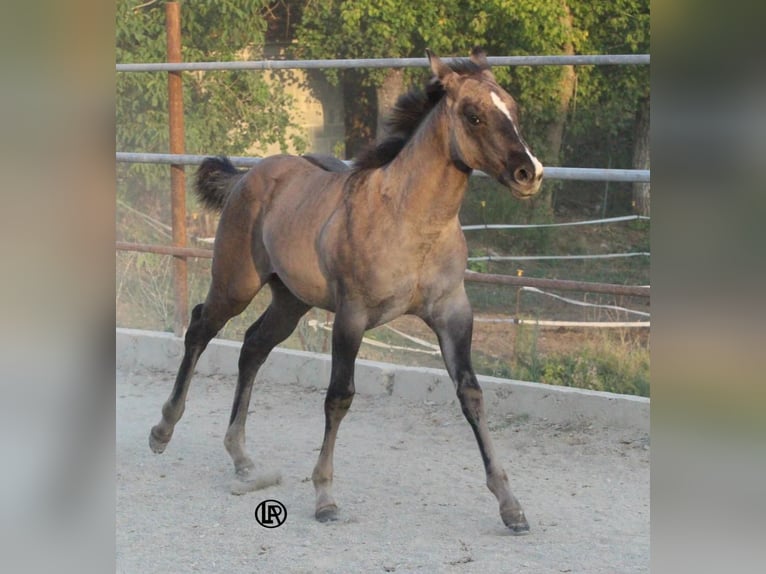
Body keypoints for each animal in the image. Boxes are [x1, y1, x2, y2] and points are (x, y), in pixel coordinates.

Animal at [149, 48, 543, 533]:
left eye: (513, 109)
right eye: (474, 115)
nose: (530, 172)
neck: (410, 221)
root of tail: (247, 175)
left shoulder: (453, 312)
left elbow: (471, 394)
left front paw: (511, 505)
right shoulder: (352, 315)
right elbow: (339, 396)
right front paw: (324, 497)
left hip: (291, 301)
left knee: (253, 347)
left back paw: (242, 459)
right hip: (235, 283)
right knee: (200, 328)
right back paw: (163, 430)